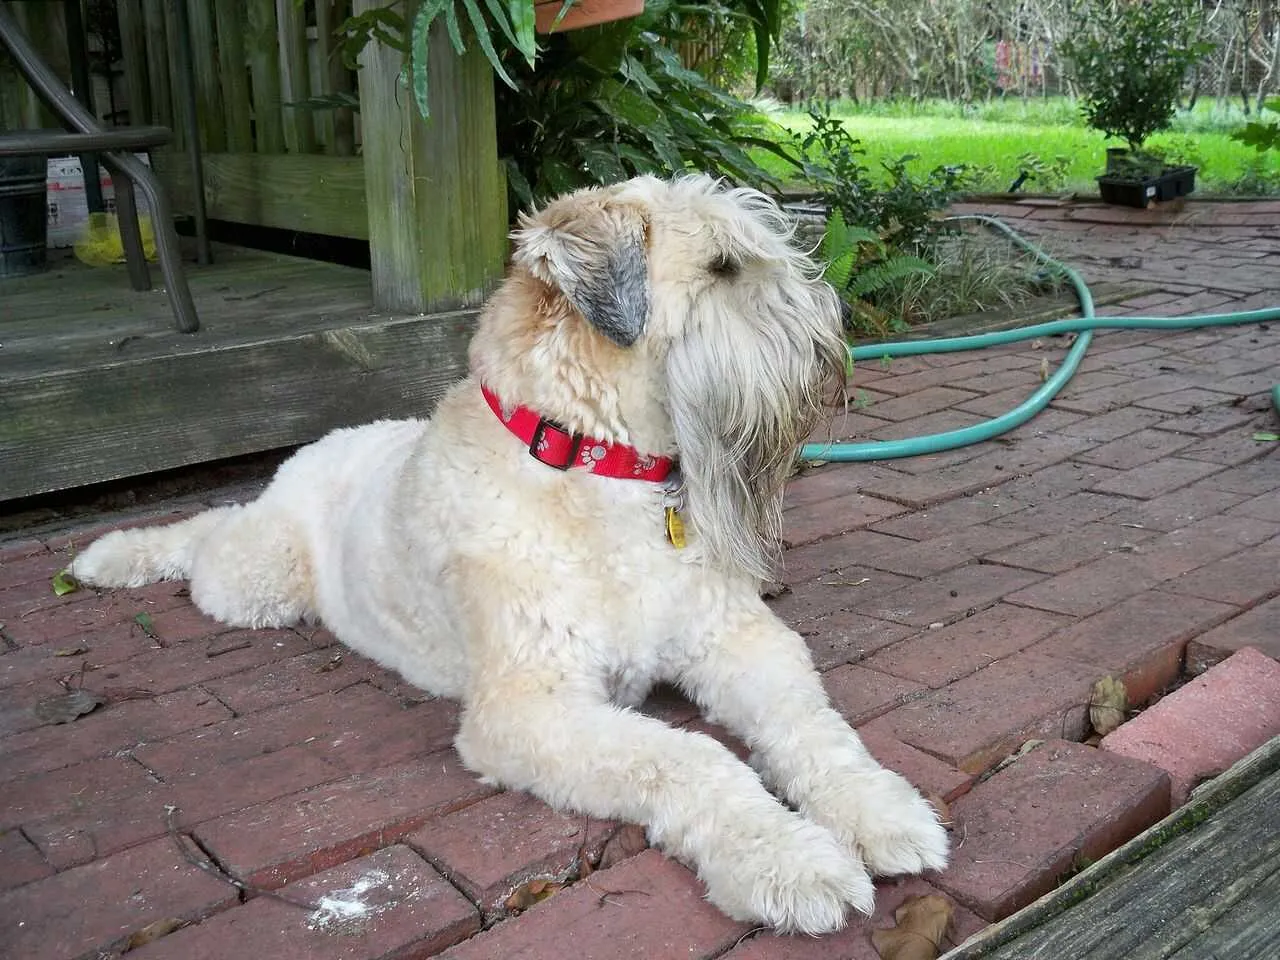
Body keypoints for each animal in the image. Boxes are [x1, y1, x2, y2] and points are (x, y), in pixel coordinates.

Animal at [72, 172, 952, 931]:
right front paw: (784, 859)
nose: (836, 338)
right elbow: (691, 758)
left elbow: (814, 727)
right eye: (724, 266)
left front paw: (878, 809)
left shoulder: (739, 641)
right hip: (256, 577)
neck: (597, 466)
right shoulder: (531, 706)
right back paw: (116, 552)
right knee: (210, 532)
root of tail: (315, 450)